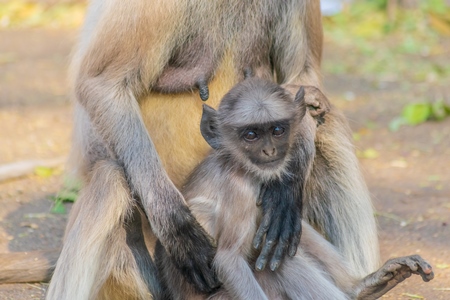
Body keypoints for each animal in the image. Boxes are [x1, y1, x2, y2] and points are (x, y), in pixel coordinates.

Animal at [44, 0, 380, 300]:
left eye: (275, 131)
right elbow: (102, 83)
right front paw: (179, 228)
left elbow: (301, 76)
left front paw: (285, 190)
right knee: (110, 176)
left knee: (324, 117)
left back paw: (361, 285)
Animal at [156, 77, 434, 300]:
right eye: (251, 135)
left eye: (277, 130)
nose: (269, 151)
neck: (240, 165)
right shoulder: (239, 189)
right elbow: (228, 261)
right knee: (279, 265)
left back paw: (360, 288)